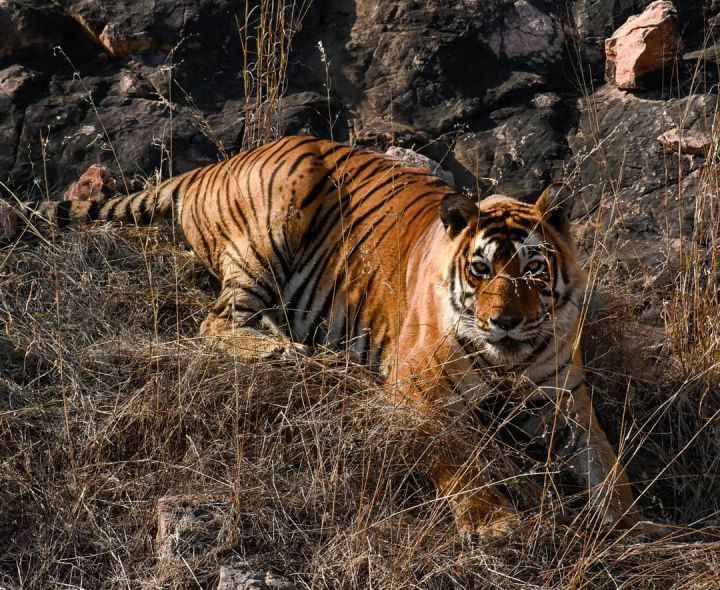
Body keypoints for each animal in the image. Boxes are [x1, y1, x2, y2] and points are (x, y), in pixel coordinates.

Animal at [18, 136, 660, 544]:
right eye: (479, 271)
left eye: (531, 269)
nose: (502, 321)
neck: (509, 356)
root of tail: (212, 166)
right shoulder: (412, 391)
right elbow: (458, 459)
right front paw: (494, 522)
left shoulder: (566, 398)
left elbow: (609, 467)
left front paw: (637, 527)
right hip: (270, 228)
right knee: (214, 321)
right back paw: (285, 351)